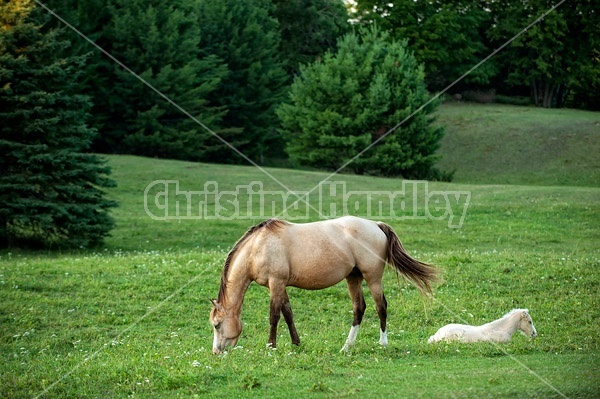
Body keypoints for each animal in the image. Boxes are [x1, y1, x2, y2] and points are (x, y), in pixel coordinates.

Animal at [209, 217, 438, 354]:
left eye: (217, 325)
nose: (216, 352)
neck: (258, 247)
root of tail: (375, 224)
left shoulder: (276, 283)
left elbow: (274, 316)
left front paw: (271, 346)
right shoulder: (281, 286)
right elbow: (288, 313)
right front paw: (296, 343)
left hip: (372, 278)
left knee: (381, 307)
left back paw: (382, 343)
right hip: (353, 277)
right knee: (359, 309)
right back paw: (347, 346)